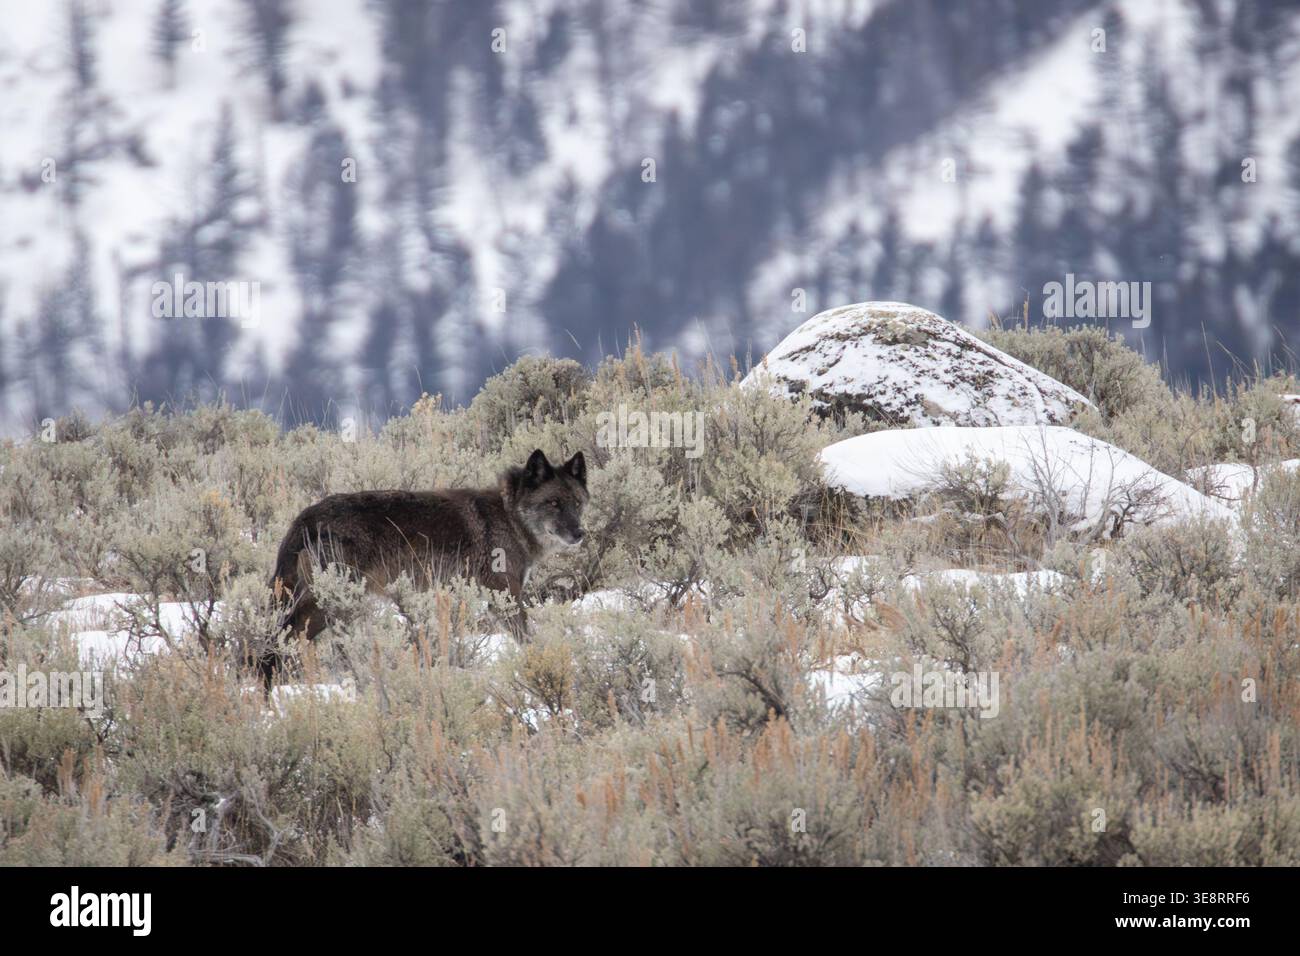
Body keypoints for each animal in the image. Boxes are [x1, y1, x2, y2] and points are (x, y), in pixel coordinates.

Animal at [263, 449, 587, 678]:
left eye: (577, 503)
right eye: (553, 503)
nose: (580, 533)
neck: (508, 517)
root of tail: (306, 516)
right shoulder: (504, 597)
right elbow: (528, 639)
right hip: (330, 603)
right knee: (280, 639)